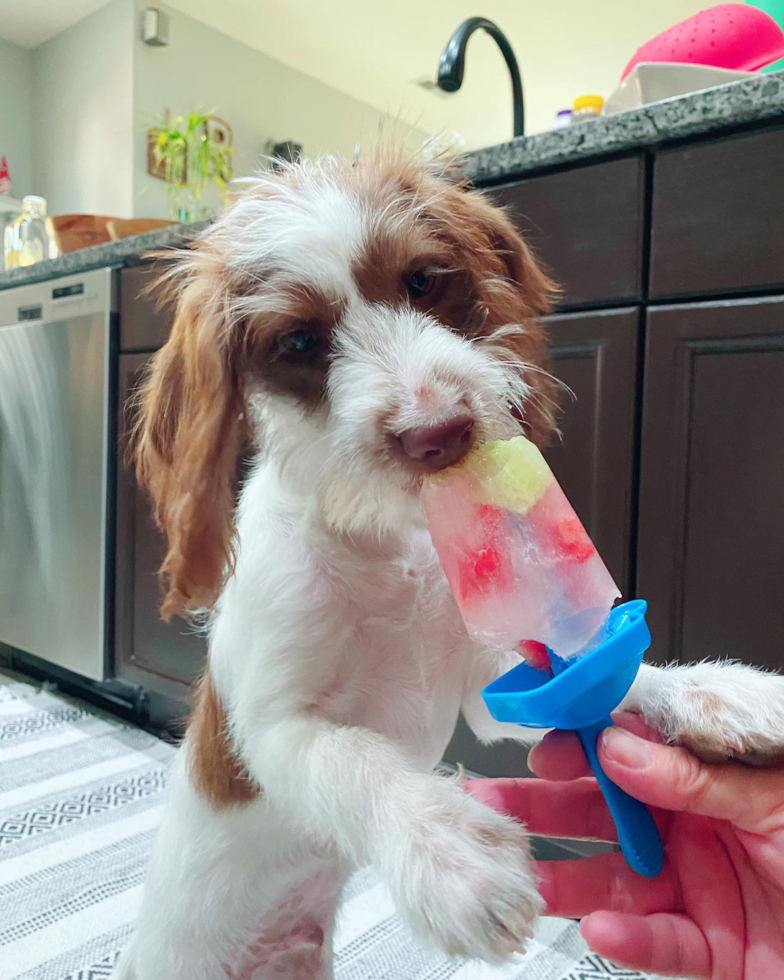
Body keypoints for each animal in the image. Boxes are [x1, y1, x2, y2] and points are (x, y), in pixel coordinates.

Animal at [116, 151, 784, 980]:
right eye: (298, 342)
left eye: (423, 282)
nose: (438, 434)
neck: (382, 544)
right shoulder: (268, 732)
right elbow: (354, 758)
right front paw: (452, 855)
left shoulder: (485, 684)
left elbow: (597, 675)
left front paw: (717, 693)